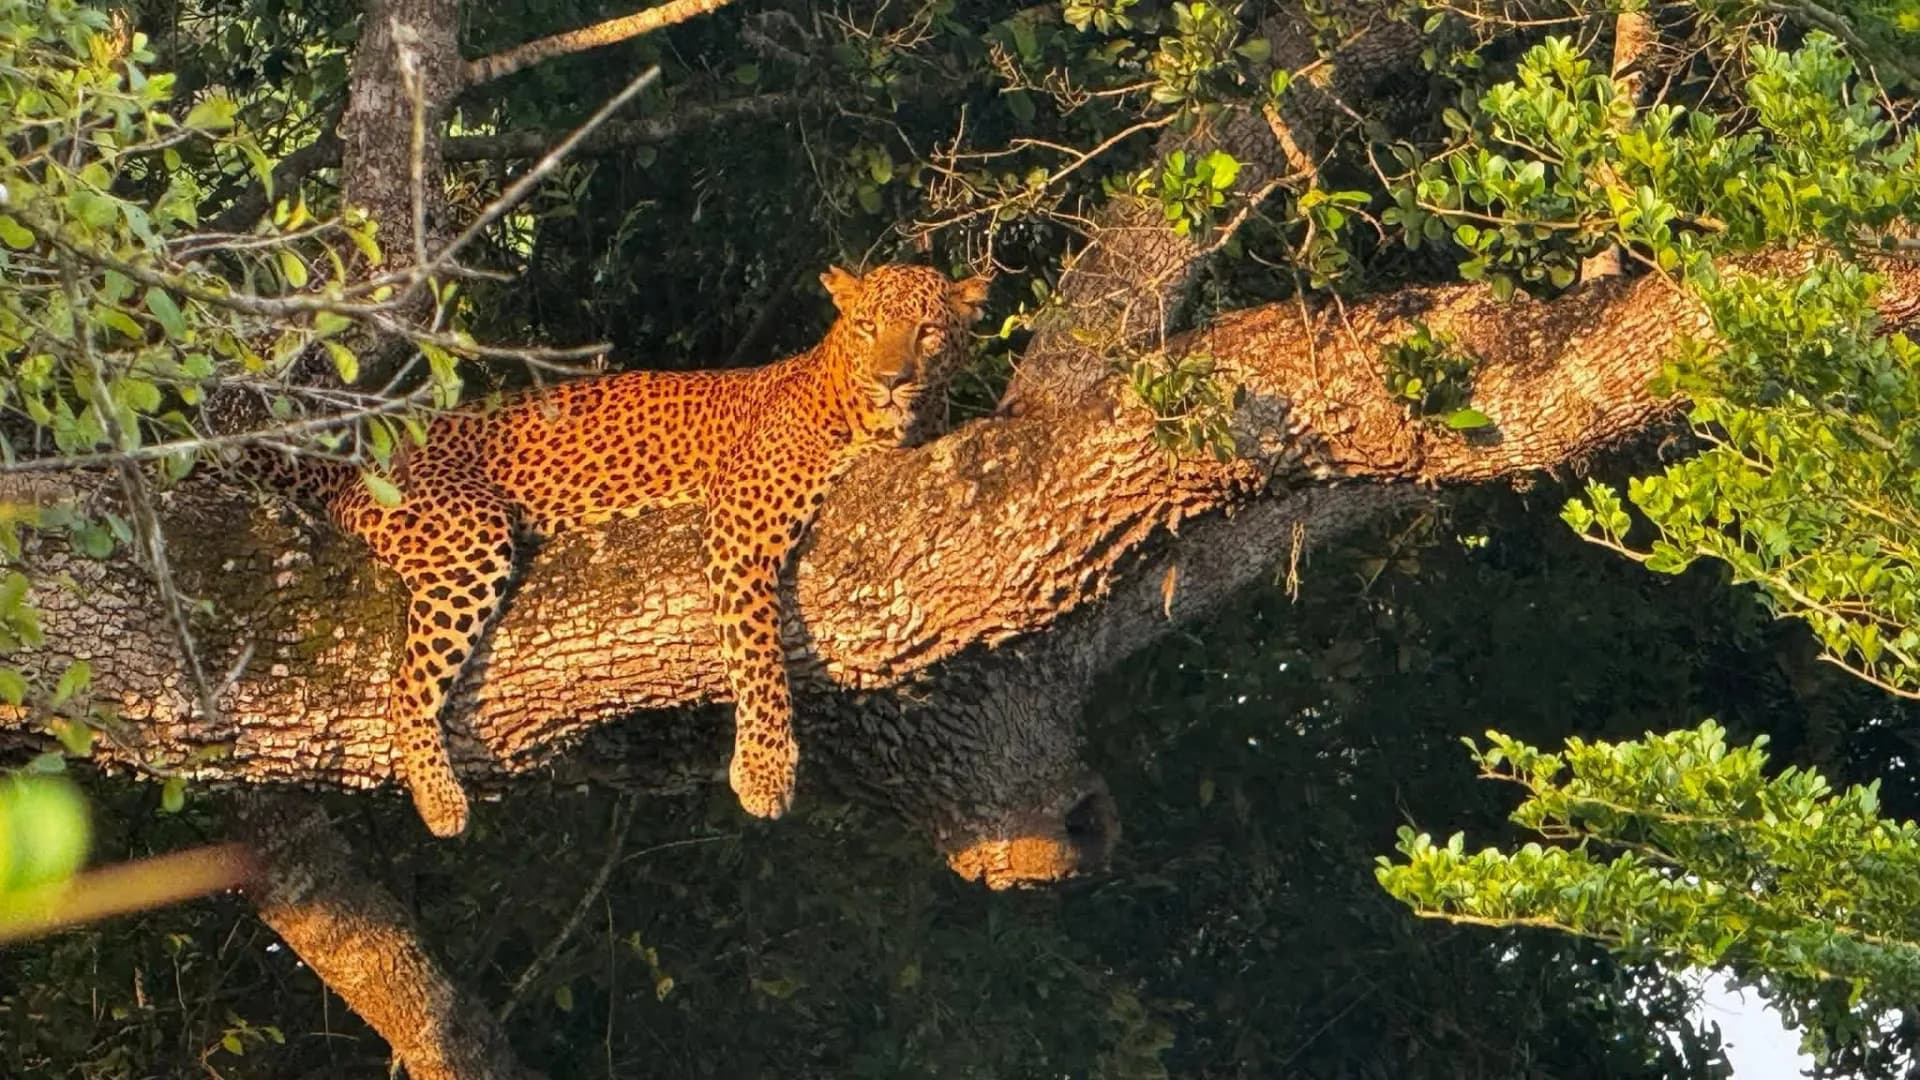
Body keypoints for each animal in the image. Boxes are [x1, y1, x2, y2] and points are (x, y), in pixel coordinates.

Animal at [245, 264, 990, 837]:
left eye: (927, 331)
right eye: (867, 327)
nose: (893, 379)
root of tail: (367, 456)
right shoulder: (742, 526)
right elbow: (758, 655)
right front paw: (764, 770)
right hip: (466, 531)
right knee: (406, 688)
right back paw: (440, 799)